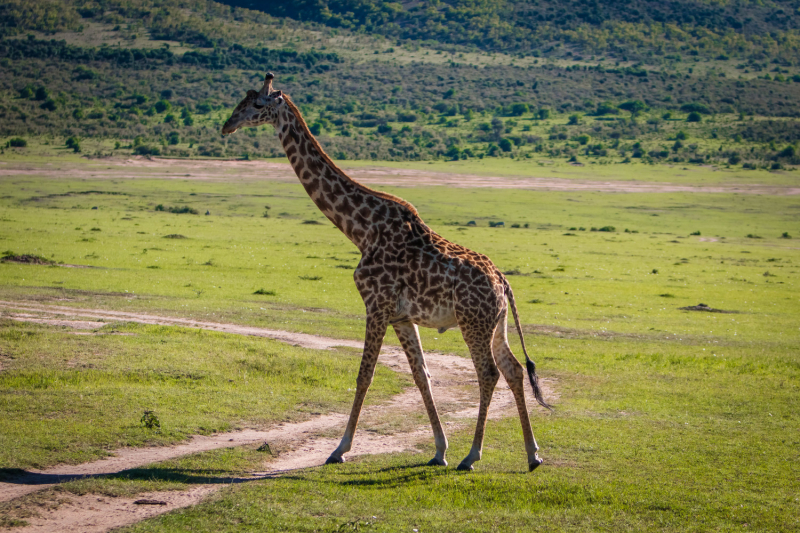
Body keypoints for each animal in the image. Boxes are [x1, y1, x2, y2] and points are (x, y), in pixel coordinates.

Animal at [222, 71, 552, 470]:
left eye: (256, 104)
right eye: (241, 100)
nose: (226, 125)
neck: (360, 230)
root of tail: (503, 283)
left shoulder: (376, 305)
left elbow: (365, 375)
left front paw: (339, 449)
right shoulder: (401, 317)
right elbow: (422, 376)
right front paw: (439, 450)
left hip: (472, 322)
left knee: (488, 372)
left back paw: (473, 455)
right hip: (496, 323)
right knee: (514, 369)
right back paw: (532, 454)